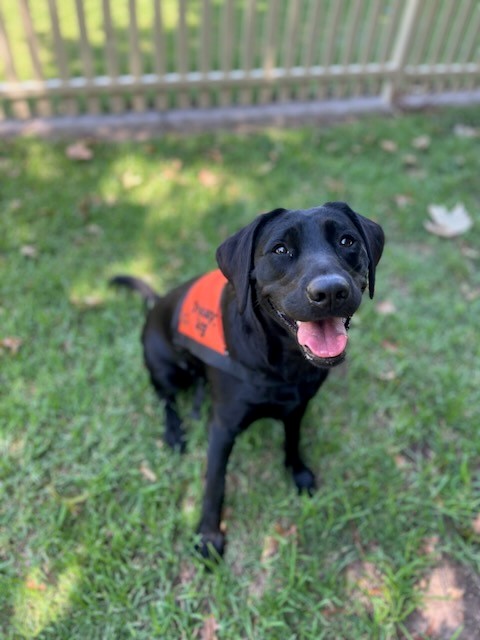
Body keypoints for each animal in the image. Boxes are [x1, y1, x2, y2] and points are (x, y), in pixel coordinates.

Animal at [110, 202, 384, 556]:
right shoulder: (223, 427)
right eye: (280, 249)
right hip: (164, 367)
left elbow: (292, 440)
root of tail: (157, 302)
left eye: (347, 241)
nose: (331, 291)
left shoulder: (298, 406)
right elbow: (215, 482)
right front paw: (208, 536)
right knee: (166, 399)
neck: (283, 361)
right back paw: (174, 431)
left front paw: (298, 473)